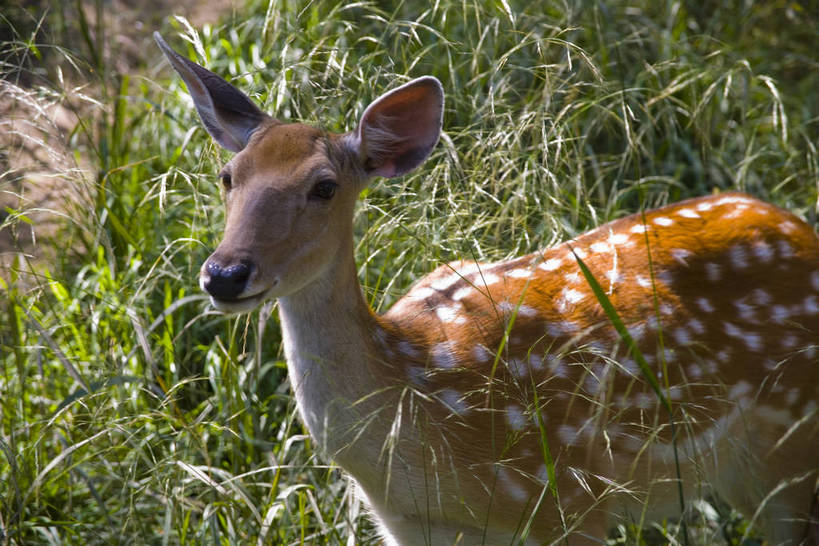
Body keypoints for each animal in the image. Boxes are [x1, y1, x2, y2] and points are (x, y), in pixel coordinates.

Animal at [155, 33, 819, 540]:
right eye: (228, 176)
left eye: (324, 186)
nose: (225, 273)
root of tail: (799, 226)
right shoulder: (405, 526)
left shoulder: (569, 501)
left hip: (791, 446)